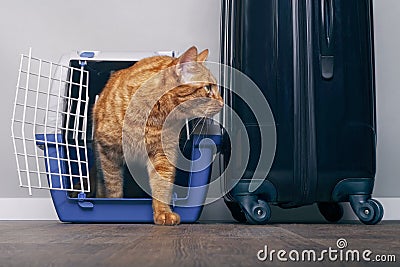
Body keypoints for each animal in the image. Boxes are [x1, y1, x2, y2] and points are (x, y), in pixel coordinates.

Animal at [92, 46, 223, 226]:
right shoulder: (108, 153)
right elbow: (114, 187)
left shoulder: (162, 154)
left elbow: (161, 186)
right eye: (209, 88)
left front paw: (163, 212)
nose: (223, 102)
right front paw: (114, 206)